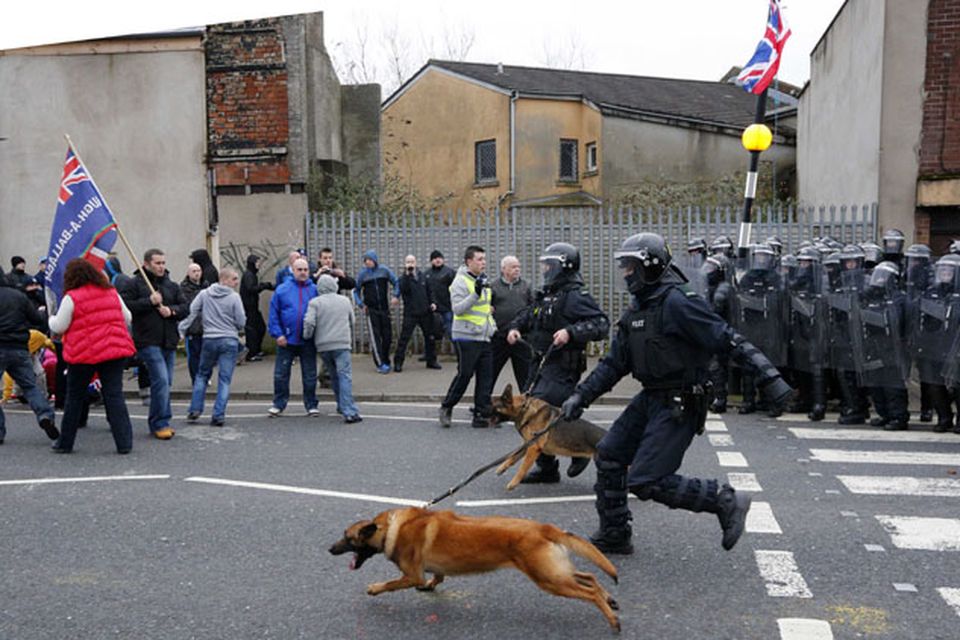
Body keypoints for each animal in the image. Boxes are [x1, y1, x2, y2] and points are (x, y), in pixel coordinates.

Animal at [328, 508, 624, 632]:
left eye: (347, 537)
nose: (329, 549)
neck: (390, 527)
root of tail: (544, 528)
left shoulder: (410, 575)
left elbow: (391, 583)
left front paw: (374, 588)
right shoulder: (431, 570)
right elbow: (437, 576)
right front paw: (430, 586)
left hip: (549, 580)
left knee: (589, 592)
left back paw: (612, 619)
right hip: (555, 573)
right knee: (590, 576)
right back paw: (610, 599)